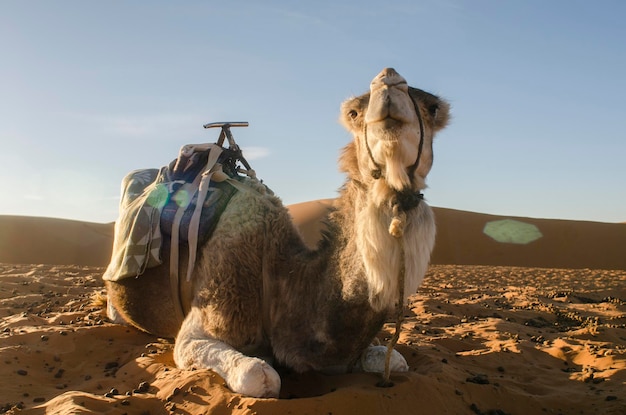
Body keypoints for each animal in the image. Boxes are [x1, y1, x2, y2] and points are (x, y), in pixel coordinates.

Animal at [106, 69, 448, 400]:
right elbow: (260, 375)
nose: (388, 81)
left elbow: (397, 362)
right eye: (353, 112)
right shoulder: (199, 327)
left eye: (432, 108)